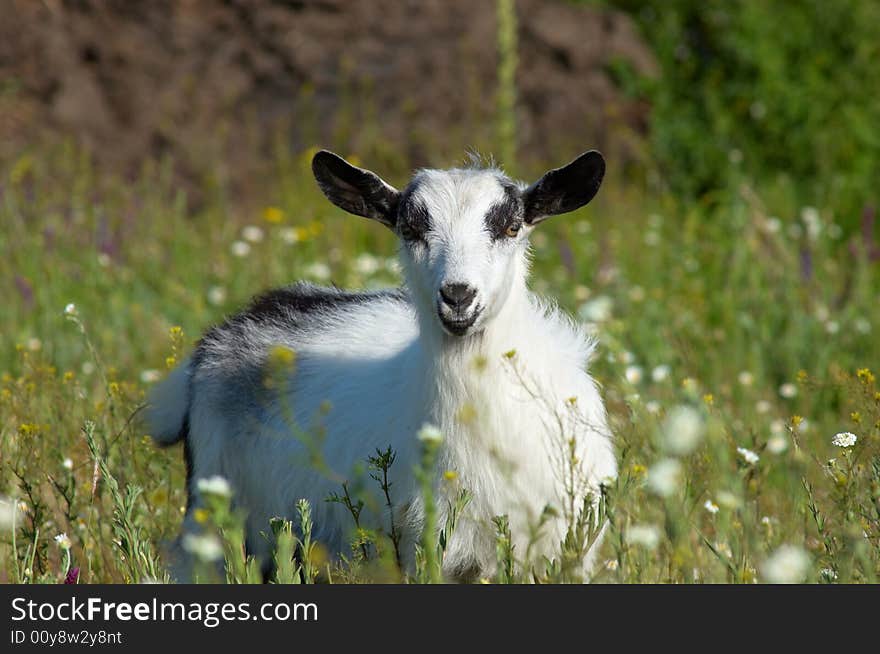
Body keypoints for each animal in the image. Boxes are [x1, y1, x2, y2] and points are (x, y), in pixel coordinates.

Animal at [146, 150, 620, 584]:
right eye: (410, 229)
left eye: (511, 227)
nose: (458, 297)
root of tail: (220, 334)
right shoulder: (428, 547)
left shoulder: (568, 552)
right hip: (212, 521)